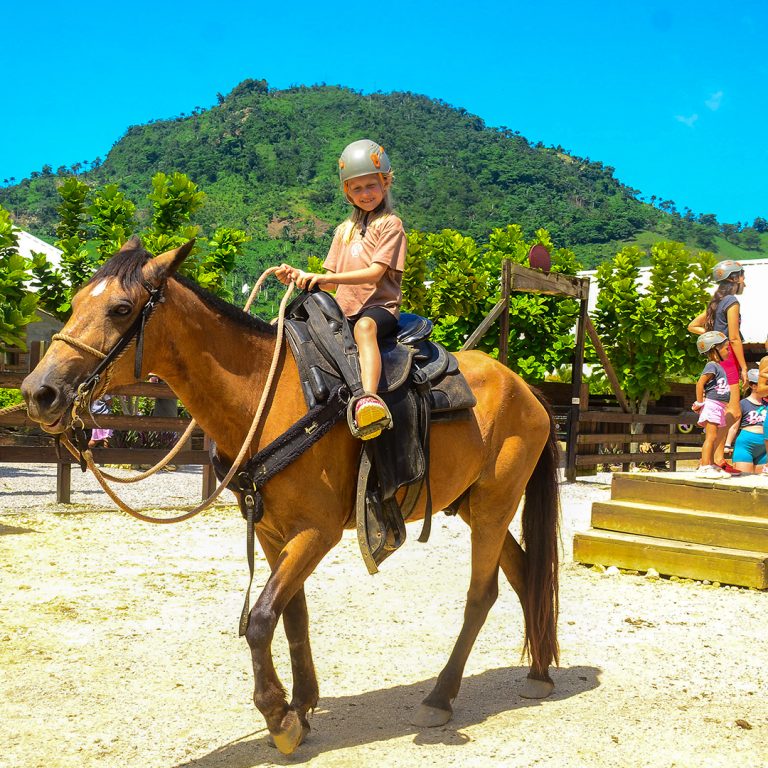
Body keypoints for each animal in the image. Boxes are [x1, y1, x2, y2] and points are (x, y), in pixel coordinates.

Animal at [21, 239, 561, 755]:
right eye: (75, 302)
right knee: (523, 574)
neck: (268, 394)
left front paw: (278, 718)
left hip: (492, 506)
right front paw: (302, 707)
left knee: (481, 595)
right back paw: (539, 673)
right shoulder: (270, 530)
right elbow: (292, 616)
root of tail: (528, 391)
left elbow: (261, 619)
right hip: (475, 507)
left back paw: (440, 698)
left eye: (121, 308)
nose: (37, 392)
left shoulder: (316, 532)